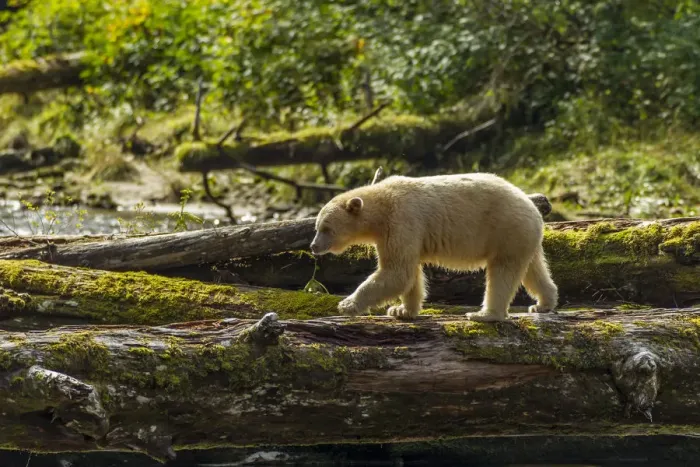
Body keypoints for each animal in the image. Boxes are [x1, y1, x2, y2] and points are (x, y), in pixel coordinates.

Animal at [309, 173, 558, 322]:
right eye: (316, 226)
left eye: (326, 228)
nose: (313, 246)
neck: (382, 204)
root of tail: (534, 208)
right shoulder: (397, 232)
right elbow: (409, 273)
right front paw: (402, 310)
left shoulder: (402, 220)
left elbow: (397, 272)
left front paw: (347, 304)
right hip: (522, 237)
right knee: (533, 269)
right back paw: (543, 304)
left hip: (505, 230)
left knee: (502, 273)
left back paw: (484, 314)